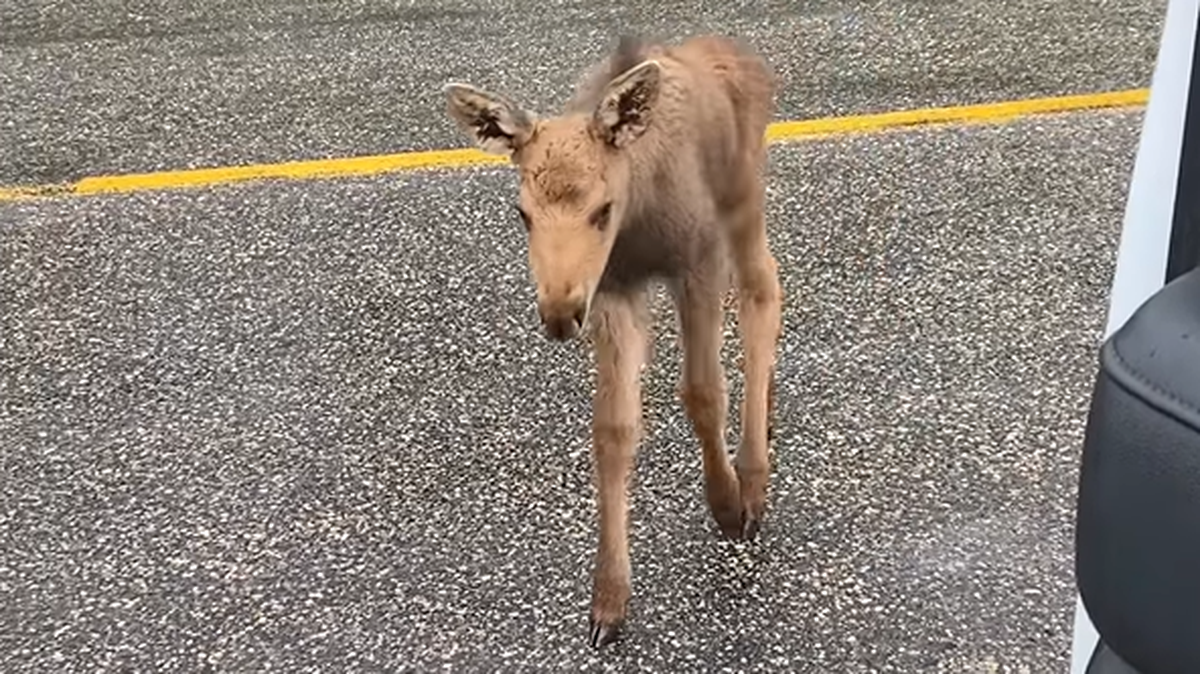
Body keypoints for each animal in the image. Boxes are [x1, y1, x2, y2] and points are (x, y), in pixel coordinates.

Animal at [441, 33, 784, 648]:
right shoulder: (610, 291)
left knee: (764, 291)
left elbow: (702, 393)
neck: (639, 220)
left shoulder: (696, 261)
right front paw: (609, 601)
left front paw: (725, 503)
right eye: (522, 213)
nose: (558, 315)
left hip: (743, 194)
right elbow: (613, 429)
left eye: (601, 209)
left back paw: (753, 474)